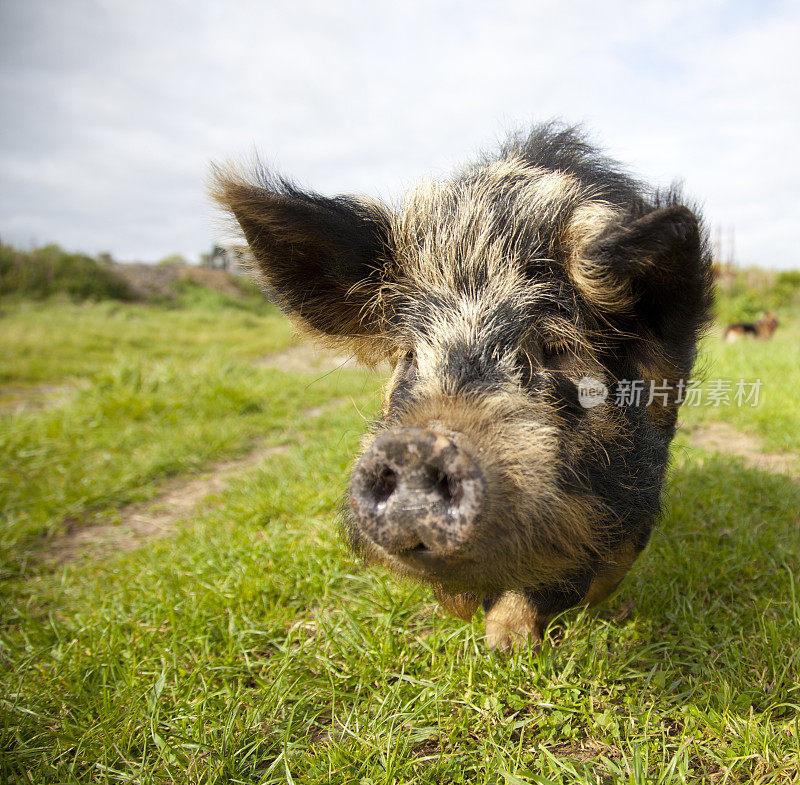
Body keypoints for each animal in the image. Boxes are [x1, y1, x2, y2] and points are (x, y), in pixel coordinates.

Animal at [212, 122, 712, 648]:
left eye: (555, 349)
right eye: (409, 354)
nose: (418, 446)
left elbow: (604, 560)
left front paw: (509, 645)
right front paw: (483, 626)